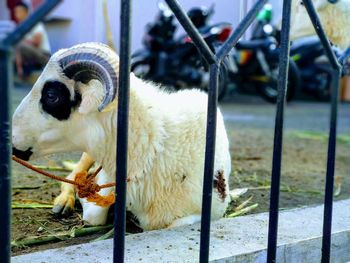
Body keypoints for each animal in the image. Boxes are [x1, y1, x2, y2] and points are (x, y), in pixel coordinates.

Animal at [12, 42, 232, 230]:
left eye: (52, 96)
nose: (10, 141)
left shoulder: (212, 210)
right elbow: (94, 214)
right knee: (72, 175)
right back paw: (64, 202)